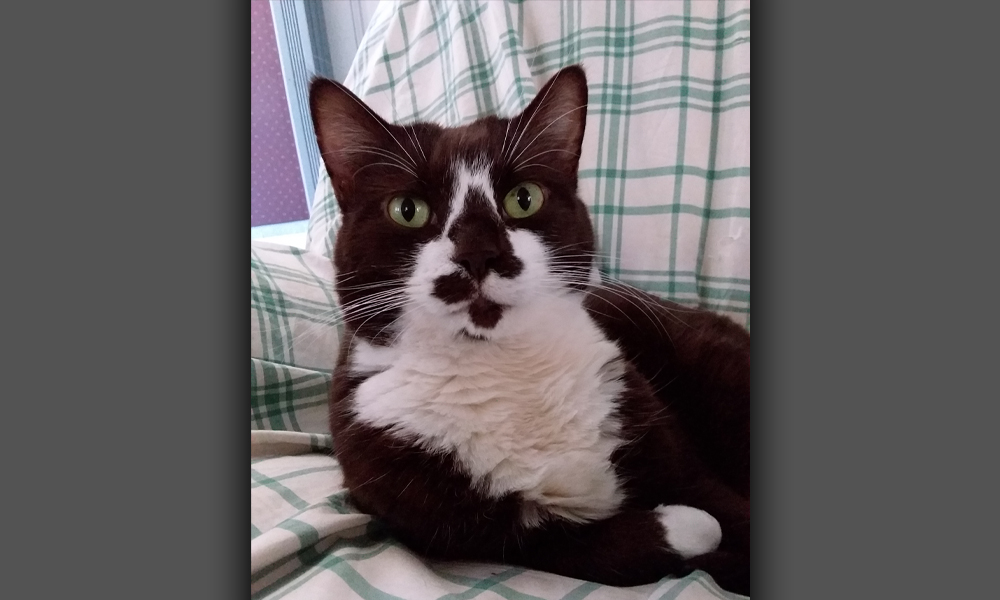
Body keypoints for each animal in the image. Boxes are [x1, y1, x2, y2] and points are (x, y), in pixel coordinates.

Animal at [308, 67, 748, 596]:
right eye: (407, 209)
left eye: (523, 199)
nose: (478, 251)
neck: (504, 370)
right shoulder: (437, 517)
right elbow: (588, 544)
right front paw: (686, 528)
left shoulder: (657, 432)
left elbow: (726, 508)